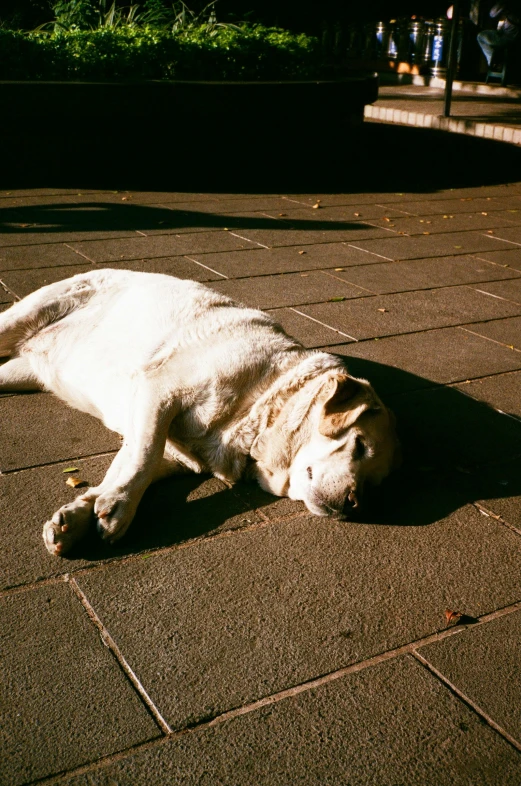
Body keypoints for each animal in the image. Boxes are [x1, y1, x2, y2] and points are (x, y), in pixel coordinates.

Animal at [0, 270, 398, 552]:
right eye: (359, 445)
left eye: (375, 484)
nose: (355, 505)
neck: (258, 406)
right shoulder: (159, 391)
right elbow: (143, 458)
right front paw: (118, 508)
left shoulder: (167, 444)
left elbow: (126, 467)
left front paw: (83, 515)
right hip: (25, 316)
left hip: (20, 373)